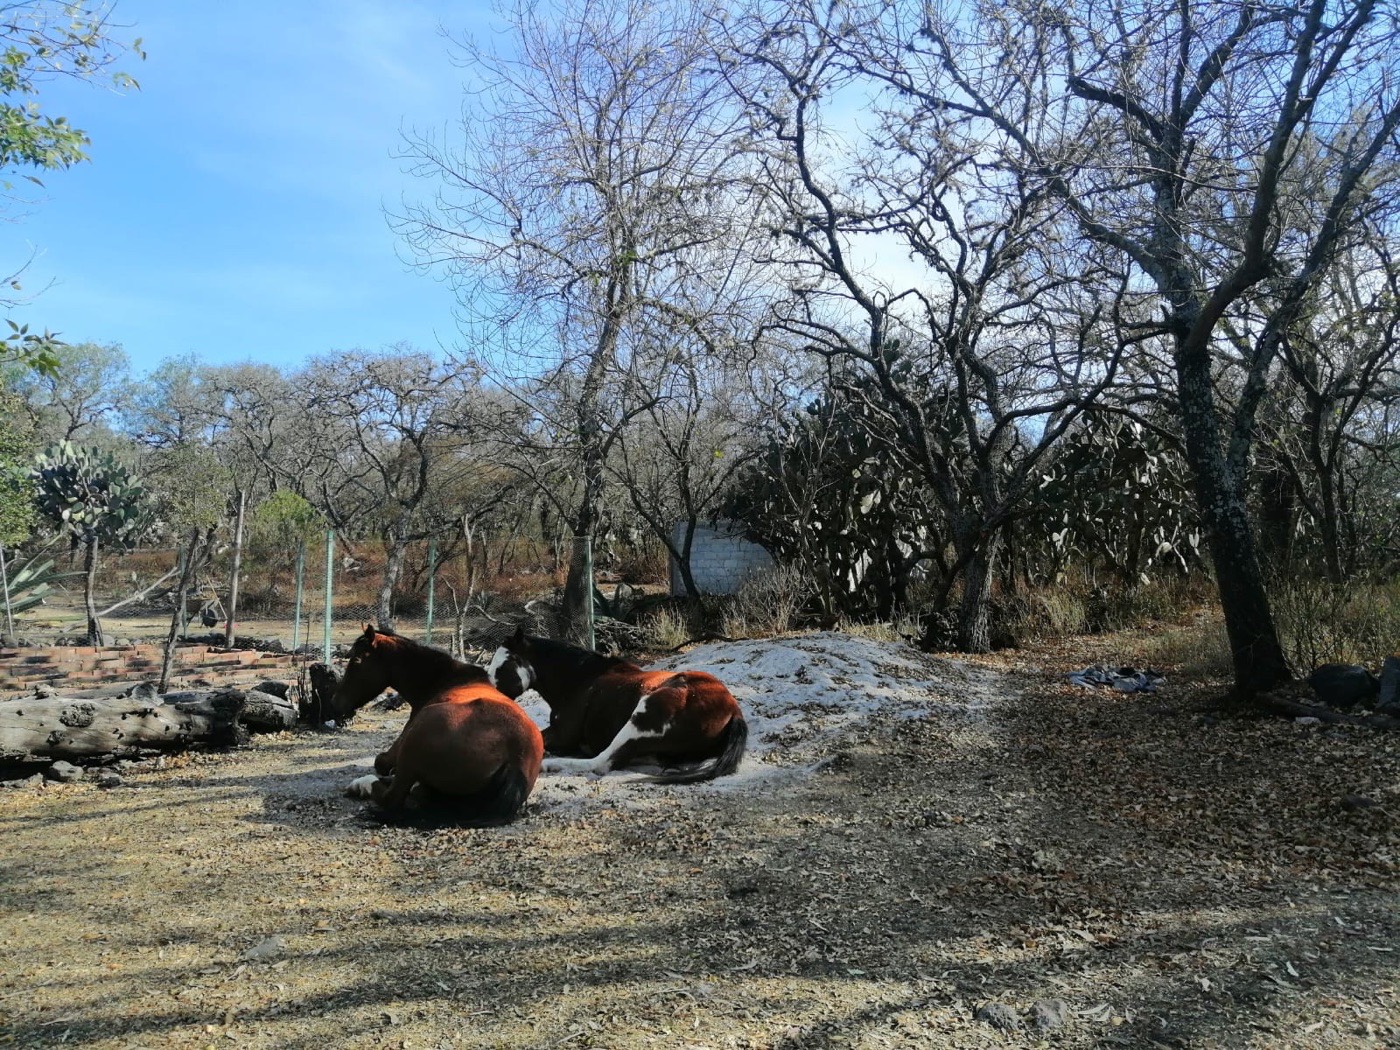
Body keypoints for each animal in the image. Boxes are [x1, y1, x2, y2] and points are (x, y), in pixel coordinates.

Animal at [333, 625, 544, 826]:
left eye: (356, 660)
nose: (336, 703)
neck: (446, 679)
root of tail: (517, 755)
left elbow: (381, 762)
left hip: (413, 743)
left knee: (392, 797)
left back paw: (363, 784)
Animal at [487, 626, 746, 782]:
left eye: (502, 665)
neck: (582, 679)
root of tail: (733, 711)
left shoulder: (562, 735)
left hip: (644, 713)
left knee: (602, 762)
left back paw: (550, 765)